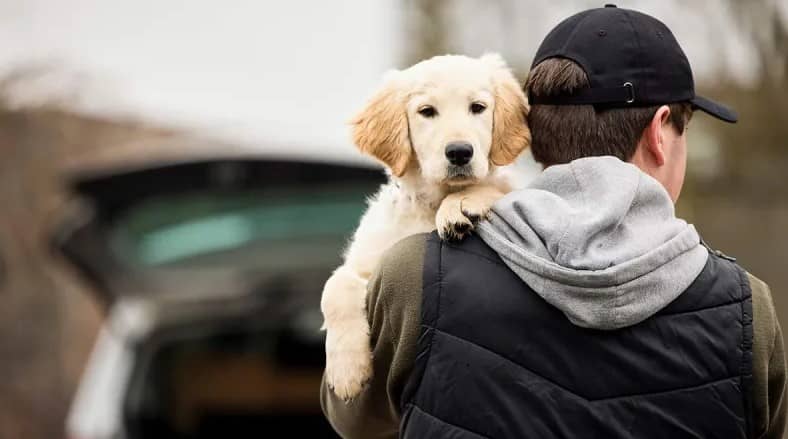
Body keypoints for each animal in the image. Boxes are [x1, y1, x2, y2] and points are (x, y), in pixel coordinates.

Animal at [320, 53, 528, 400]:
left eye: (478, 107)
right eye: (427, 111)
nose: (460, 152)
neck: (430, 203)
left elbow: (496, 188)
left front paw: (460, 204)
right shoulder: (367, 261)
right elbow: (334, 287)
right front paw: (347, 370)